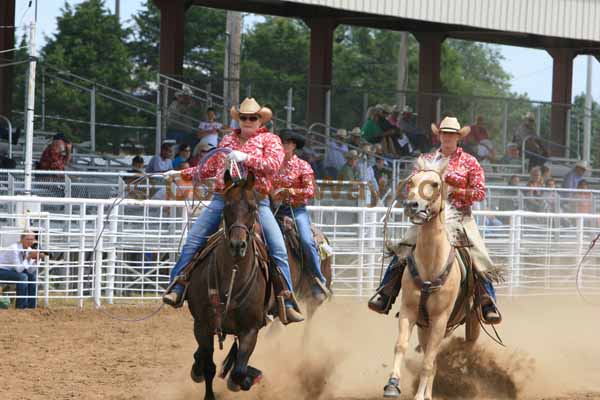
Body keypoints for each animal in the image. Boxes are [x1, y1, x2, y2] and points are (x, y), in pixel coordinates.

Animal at [188, 171, 272, 400]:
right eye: (226, 207)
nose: (237, 245)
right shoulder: (202, 325)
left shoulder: (251, 329)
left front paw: (246, 380)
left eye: (252, 208)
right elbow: (209, 366)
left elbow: (239, 372)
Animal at [384, 158, 482, 398]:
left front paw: (419, 396)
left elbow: (428, 361)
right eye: (411, 182)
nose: (412, 205)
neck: (430, 264)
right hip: (424, 326)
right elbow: (401, 345)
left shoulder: (440, 318)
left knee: (447, 352)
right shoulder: (410, 310)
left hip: (465, 325)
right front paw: (392, 384)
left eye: (436, 184)